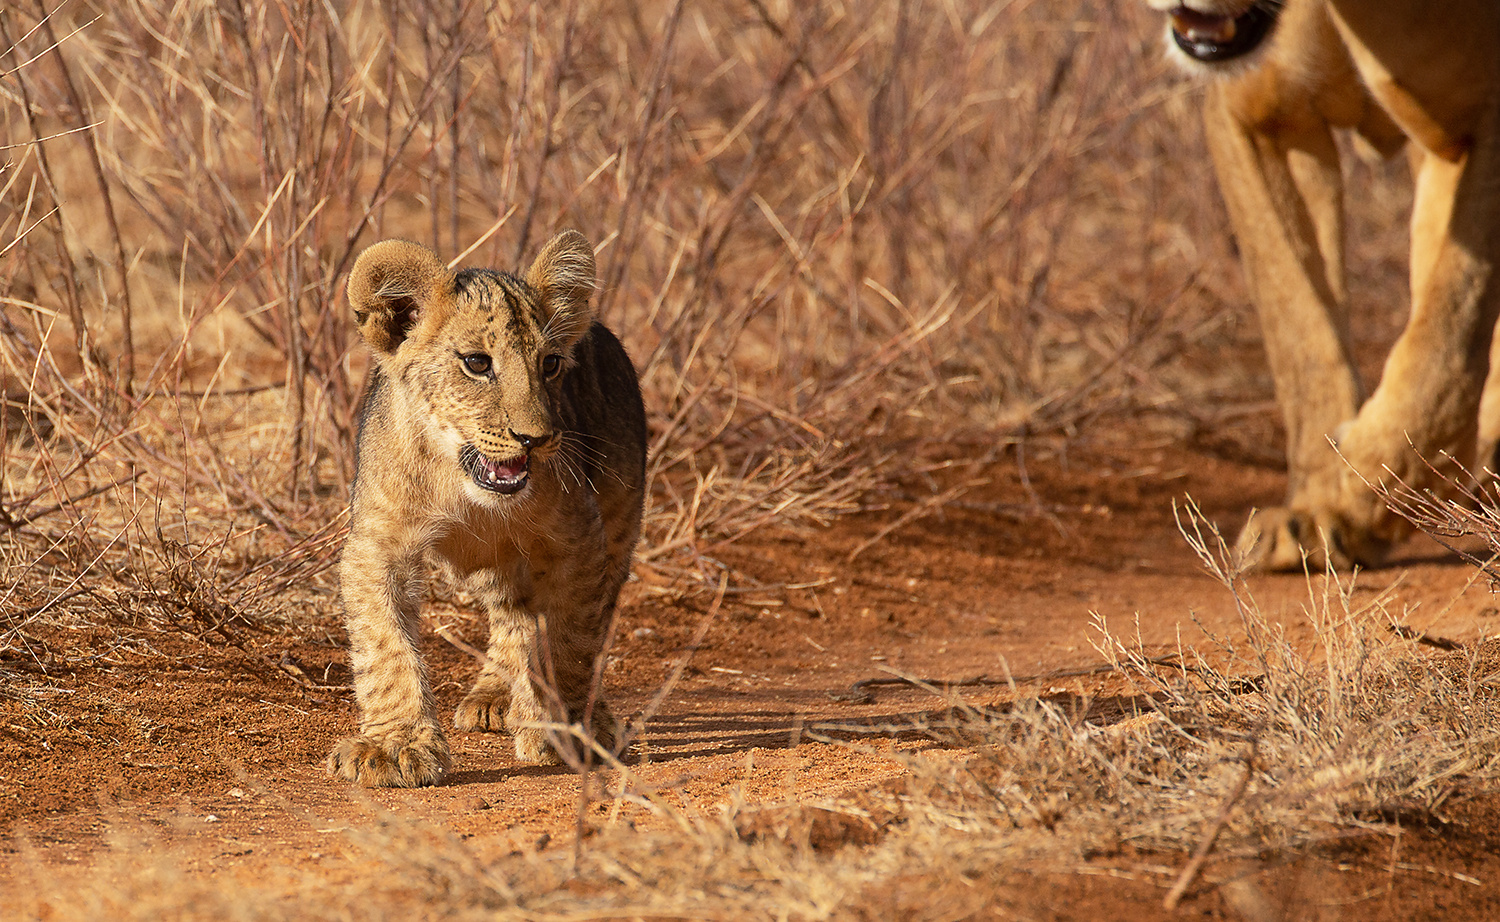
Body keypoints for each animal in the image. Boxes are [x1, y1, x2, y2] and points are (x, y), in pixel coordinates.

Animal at [1146, 1, 1500, 569]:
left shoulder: (1478, 118)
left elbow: (1448, 332)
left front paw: (1377, 487)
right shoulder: (1264, 115)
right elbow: (1300, 328)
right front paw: (1317, 512)